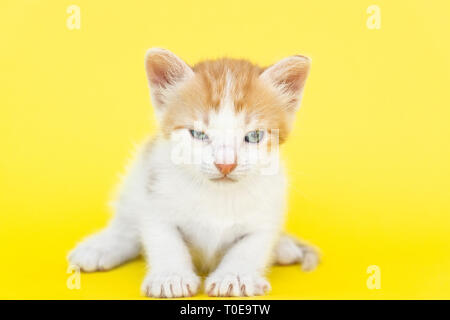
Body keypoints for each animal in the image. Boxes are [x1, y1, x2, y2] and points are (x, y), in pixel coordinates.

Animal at [68, 48, 318, 298]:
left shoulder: (269, 207)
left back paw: (284, 247)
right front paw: (171, 277)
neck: (217, 195)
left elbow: (252, 245)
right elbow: (164, 236)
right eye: (198, 134)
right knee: (128, 222)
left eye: (254, 136)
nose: (225, 164)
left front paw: (234, 276)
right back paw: (102, 246)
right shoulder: (155, 190)